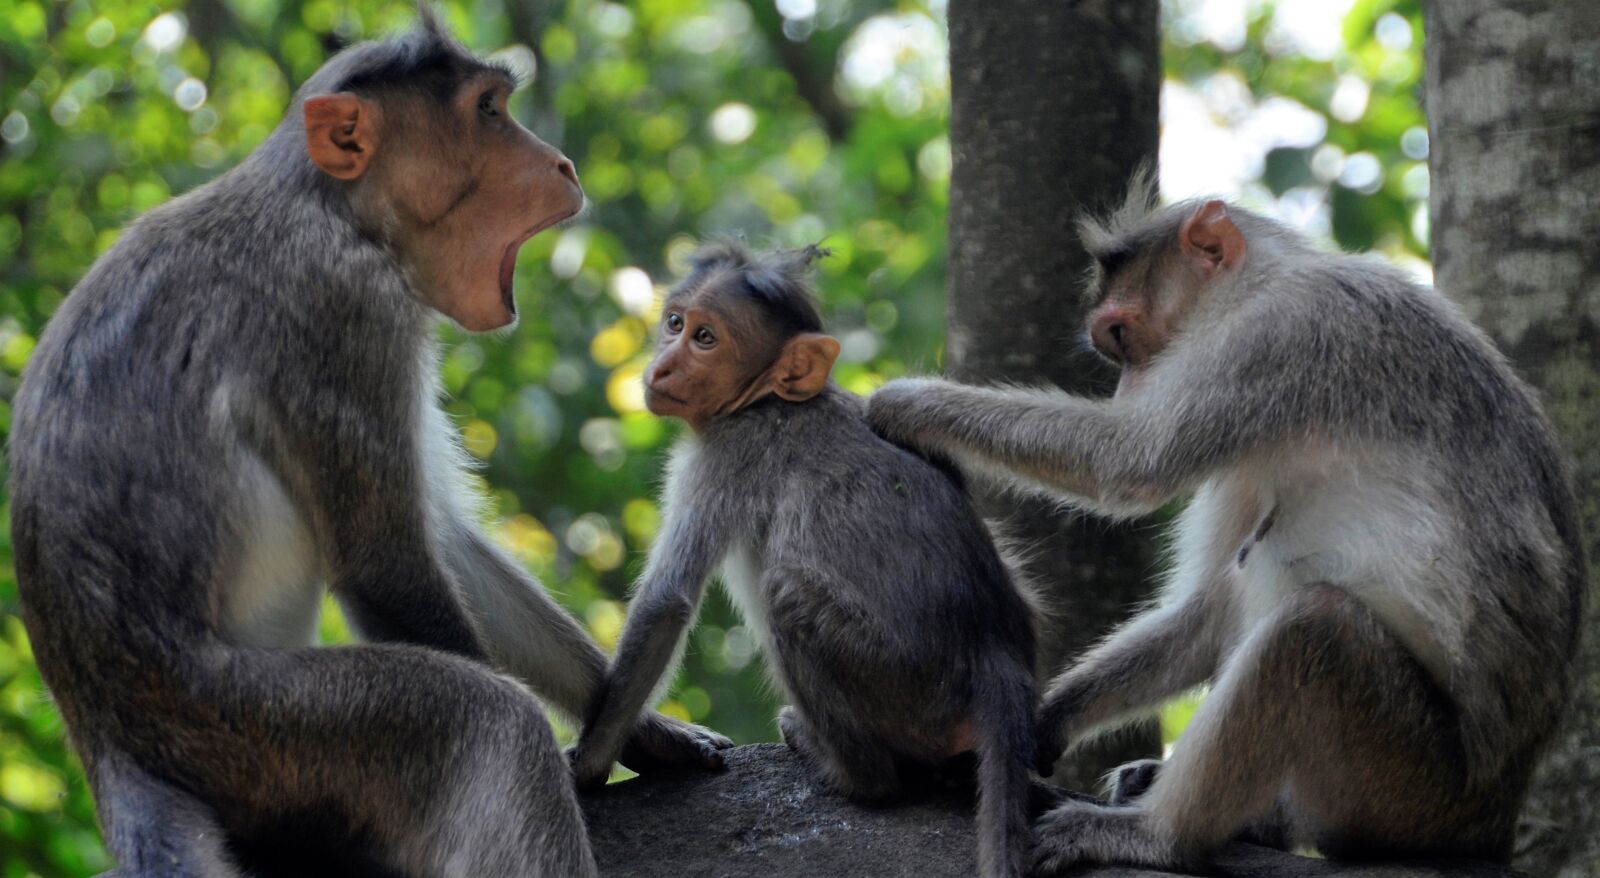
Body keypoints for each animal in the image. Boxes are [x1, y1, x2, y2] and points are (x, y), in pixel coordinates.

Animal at [7, 11, 729, 878]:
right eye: (488, 111)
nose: (562, 163)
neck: (332, 207)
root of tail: (111, 743)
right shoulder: (347, 306)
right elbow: (387, 562)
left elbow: (445, 539)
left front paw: (637, 731)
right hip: (255, 727)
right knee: (487, 722)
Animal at [567, 241, 1041, 877]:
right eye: (674, 323)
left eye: (706, 338)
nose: (662, 366)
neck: (765, 397)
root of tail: (995, 654)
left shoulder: (724, 452)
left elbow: (668, 601)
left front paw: (591, 762)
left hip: (909, 691)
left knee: (787, 594)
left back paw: (848, 771)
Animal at [867, 181, 1584, 872]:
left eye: (1120, 337)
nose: (1126, 388)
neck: (1272, 276)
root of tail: (1495, 818)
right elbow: (1208, 607)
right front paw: (1046, 719)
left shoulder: (1276, 335)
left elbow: (1130, 461)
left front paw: (908, 403)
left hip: (1413, 789)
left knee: (1312, 629)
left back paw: (1160, 836)